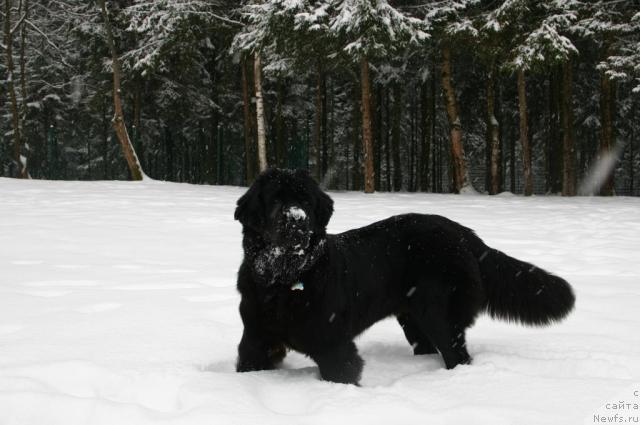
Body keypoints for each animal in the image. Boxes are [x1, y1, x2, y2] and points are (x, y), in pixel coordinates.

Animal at [234, 168, 576, 384]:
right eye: (276, 200)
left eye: (305, 201)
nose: (297, 221)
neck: (283, 279)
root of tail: (466, 235)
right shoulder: (255, 338)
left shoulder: (334, 346)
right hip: (415, 318)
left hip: (439, 314)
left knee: (457, 354)